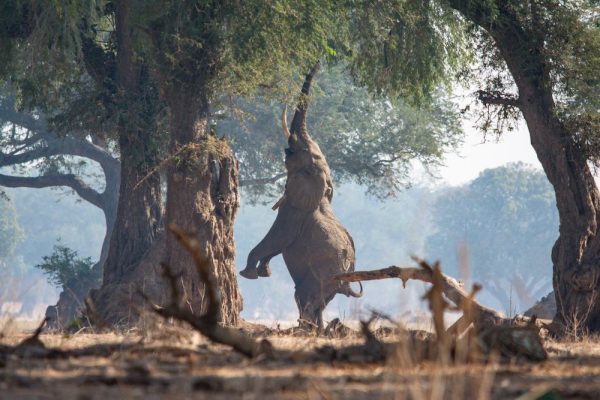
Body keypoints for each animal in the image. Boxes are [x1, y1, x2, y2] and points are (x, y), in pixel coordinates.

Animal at [240, 64, 364, 330]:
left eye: (297, 150)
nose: (317, 62)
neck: (323, 187)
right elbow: (276, 245)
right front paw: (263, 272)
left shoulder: (293, 211)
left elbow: (277, 238)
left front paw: (249, 274)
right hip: (329, 278)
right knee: (316, 300)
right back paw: (319, 329)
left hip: (322, 273)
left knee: (306, 296)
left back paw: (306, 328)